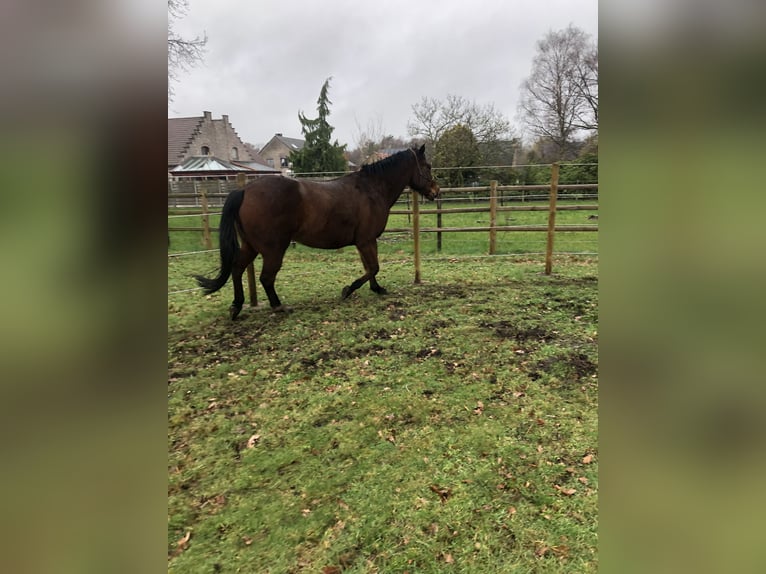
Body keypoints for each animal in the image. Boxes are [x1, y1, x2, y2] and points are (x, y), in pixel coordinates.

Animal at [195, 144, 440, 320]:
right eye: (427, 166)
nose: (436, 191)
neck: (371, 189)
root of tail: (245, 190)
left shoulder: (364, 242)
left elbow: (370, 268)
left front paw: (377, 289)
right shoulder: (366, 241)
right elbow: (373, 268)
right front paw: (347, 291)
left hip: (251, 246)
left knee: (237, 268)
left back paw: (236, 306)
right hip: (273, 250)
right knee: (266, 277)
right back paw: (278, 306)